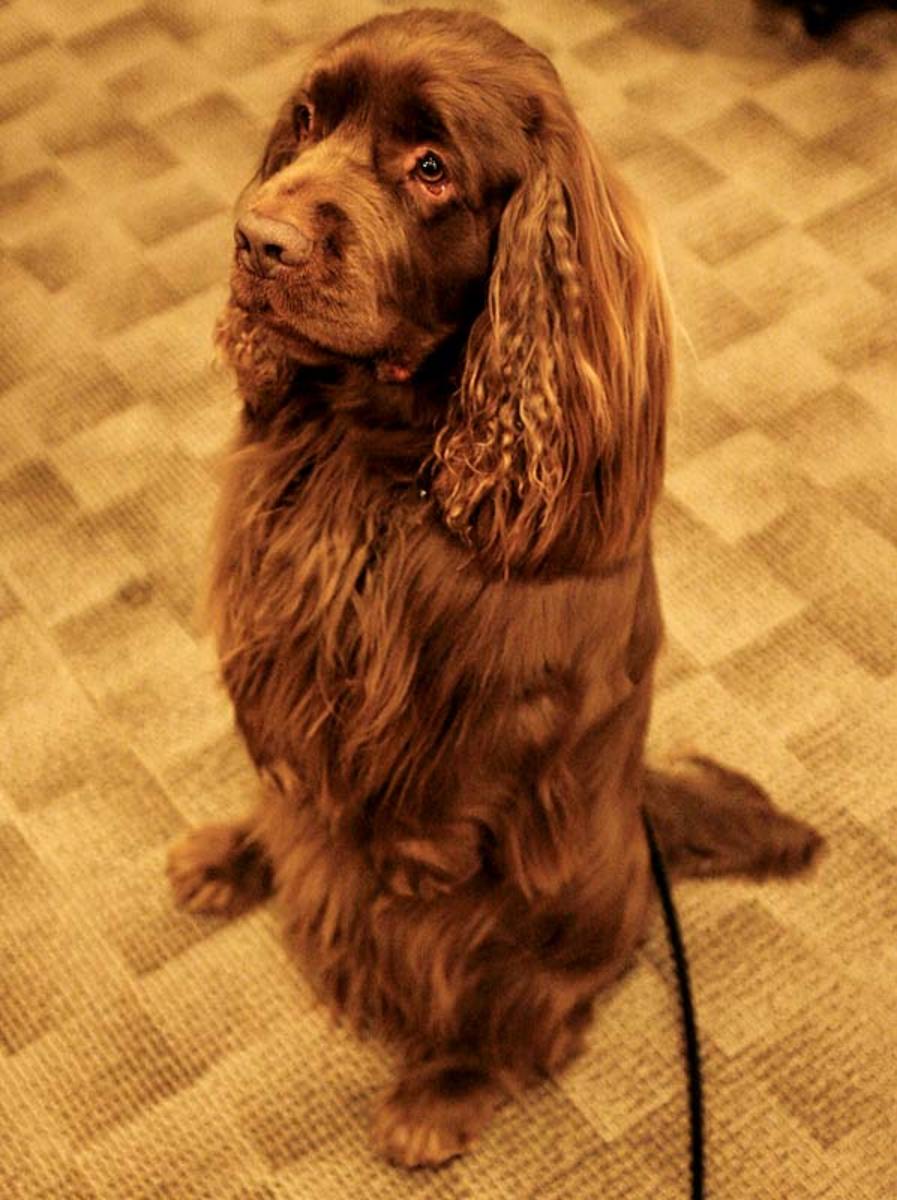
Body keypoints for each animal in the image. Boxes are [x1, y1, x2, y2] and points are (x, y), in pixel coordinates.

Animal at [166, 9, 820, 1166]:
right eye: (307, 119)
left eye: (431, 167)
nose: (257, 240)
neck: (374, 441)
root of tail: (644, 829)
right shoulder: (269, 600)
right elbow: (286, 753)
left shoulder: (520, 686)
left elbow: (445, 784)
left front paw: (410, 864)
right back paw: (228, 853)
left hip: (555, 925)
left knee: (530, 1014)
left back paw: (439, 1094)